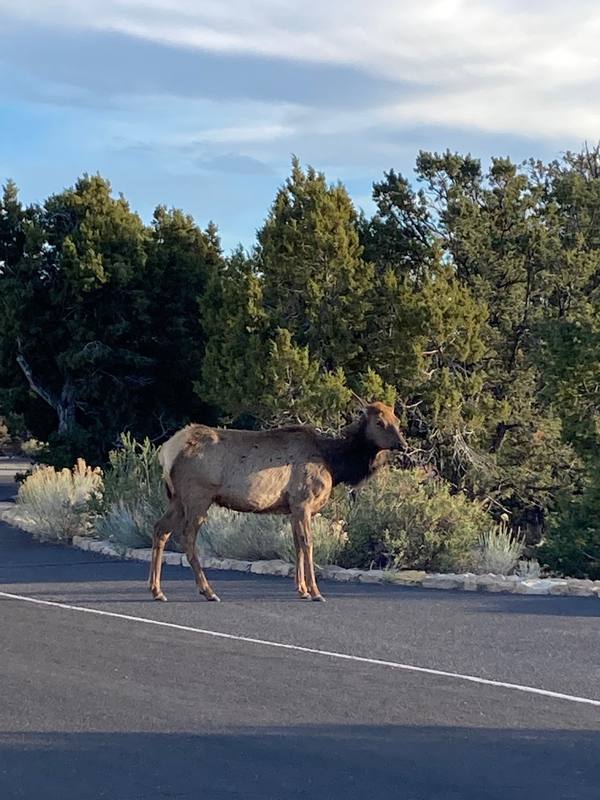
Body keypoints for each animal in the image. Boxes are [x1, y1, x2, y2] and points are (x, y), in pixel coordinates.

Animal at [148, 404, 406, 604]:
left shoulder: (292, 508)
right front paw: (315, 592)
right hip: (198, 496)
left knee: (160, 529)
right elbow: (308, 544)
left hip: (177, 499)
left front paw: (301, 590)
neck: (334, 462)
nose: (403, 444)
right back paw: (208, 591)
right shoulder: (303, 501)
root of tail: (166, 451)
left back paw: (157, 590)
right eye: (380, 422)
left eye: (397, 420)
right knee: (187, 537)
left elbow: (296, 545)